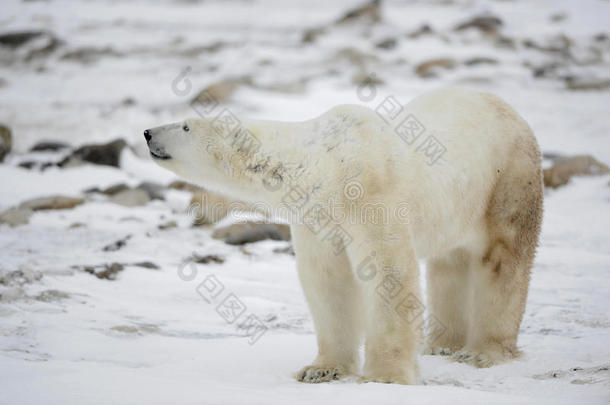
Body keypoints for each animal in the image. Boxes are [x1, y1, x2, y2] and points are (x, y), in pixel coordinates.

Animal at [144, 87, 540, 384]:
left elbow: (388, 273)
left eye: (185, 126)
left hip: (506, 181)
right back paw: (442, 345)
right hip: (457, 206)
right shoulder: (318, 218)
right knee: (450, 263)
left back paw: (484, 351)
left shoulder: (372, 193)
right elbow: (327, 282)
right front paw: (320, 370)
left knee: (503, 260)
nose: (148, 132)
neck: (325, 165)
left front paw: (385, 376)